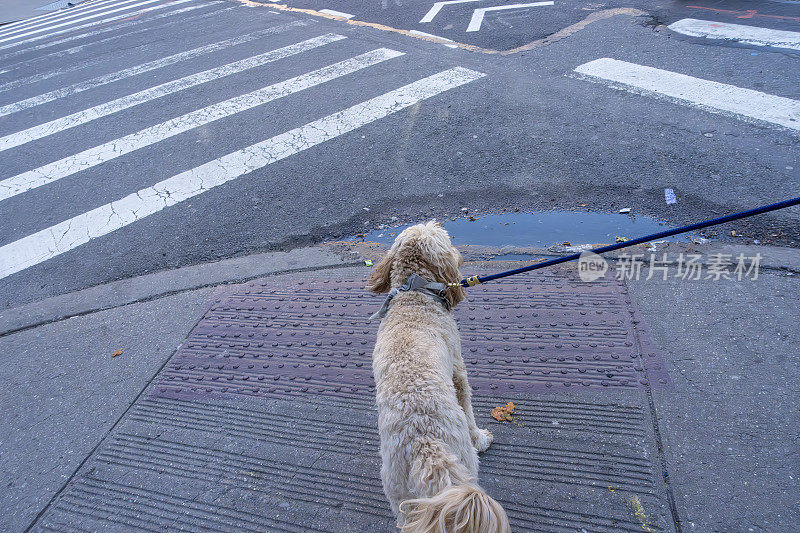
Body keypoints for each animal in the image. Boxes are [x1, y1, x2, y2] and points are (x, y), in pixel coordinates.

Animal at [366, 220, 510, 532]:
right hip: (464, 462)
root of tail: (425, 445)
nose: (460, 255)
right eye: (448, 241)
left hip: (401, 495)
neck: (414, 294)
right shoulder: (458, 370)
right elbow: (468, 406)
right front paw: (481, 438)